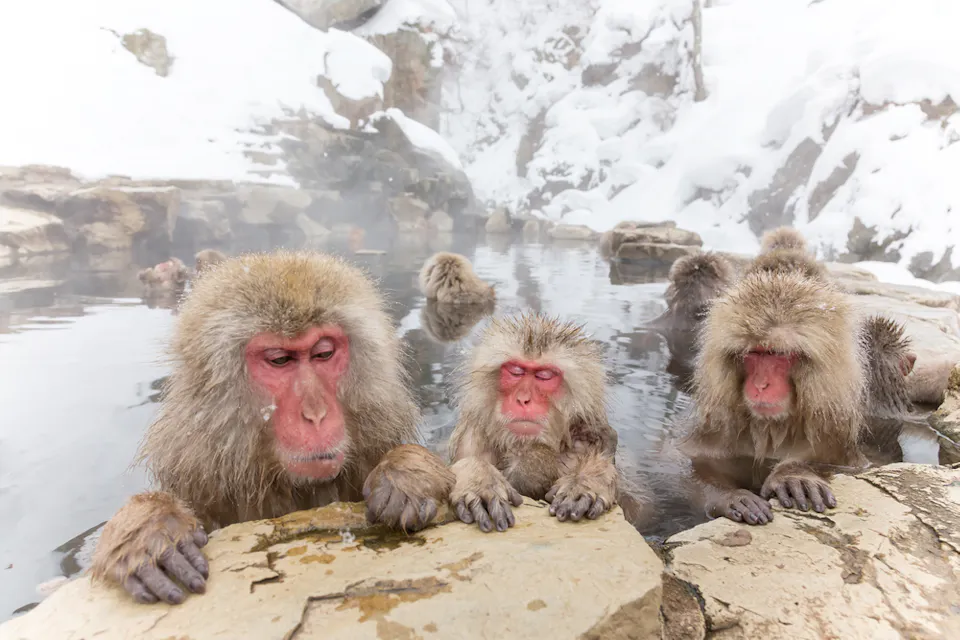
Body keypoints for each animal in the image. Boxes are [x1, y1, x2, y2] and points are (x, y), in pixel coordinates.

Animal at [446, 311, 620, 532]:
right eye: (516, 371)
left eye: (544, 376)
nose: (523, 399)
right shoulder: (471, 433)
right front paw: (478, 479)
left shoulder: (592, 430)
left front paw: (586, 480)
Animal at [678, 268, 868, 525]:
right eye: (754, 354)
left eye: (777, 354)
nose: (761, 385)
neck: (773, 427)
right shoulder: (718, 431)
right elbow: (696, 464)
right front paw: (728, 496)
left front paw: (794, 475)